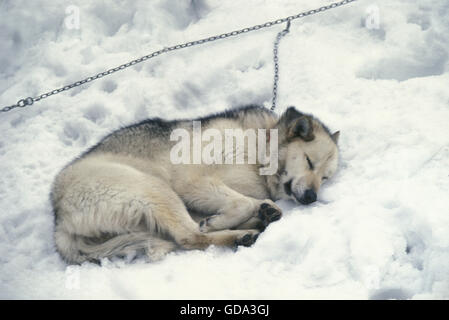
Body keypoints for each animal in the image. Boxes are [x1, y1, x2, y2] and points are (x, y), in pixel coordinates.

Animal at [50, 104, 338, 262]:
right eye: (310, 162)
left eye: (325, 177)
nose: (311, 197)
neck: (257, 148)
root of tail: (59, 220)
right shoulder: (191, 181)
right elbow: (242, 203)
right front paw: (225, 220)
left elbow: (248, 201)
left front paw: (260, 211)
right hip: (154, 188)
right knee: (189, 235)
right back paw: (242, 233)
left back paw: (258, 221)